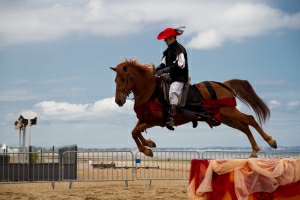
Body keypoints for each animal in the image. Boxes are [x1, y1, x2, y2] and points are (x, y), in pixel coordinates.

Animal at [110, 59, 276, 158]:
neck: (150, 91)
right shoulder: (145, 119)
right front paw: (149, 145)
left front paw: (147, 148)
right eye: (115, 80)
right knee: (244, 127)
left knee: (250, 119)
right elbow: (134, 132)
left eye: (123, 79)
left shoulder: (155, 120)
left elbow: (136, 132)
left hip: (229, 112)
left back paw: (270, 141)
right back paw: (254, 150)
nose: (118, 101)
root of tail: (224, 84)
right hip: (226, 117)